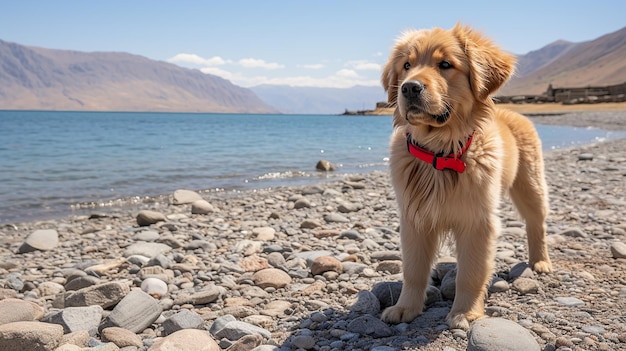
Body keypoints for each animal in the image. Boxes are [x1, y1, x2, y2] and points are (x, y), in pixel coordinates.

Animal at [378, 24, 548, 330]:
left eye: (445, 65)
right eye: (406, 65)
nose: (409, 87)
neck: (440, 151)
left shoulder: (477, 221)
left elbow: (471, 273)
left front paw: (466, 313)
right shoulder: (414, 218)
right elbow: (413, 270)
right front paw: (405, 308)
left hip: (530, 184)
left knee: (536, 223)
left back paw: (540, 262)